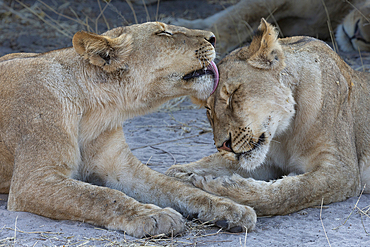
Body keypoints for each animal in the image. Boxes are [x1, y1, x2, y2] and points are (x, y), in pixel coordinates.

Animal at [0, 22, 258, 238]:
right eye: (163, 33)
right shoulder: (33, 181)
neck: (98, 109)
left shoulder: (123, 169)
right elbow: (100, 196)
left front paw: (231, 207)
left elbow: (178, 187)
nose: (213, 37)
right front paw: (154, 215)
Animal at [167, 18, 370, 216]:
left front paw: (220, 186)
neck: (287, 132)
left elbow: (290, 192)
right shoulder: (268, 161)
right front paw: (180, 174)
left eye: (233, 94)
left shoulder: (343, 170)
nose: (223, 145)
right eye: (209, 110)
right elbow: (204, 164)